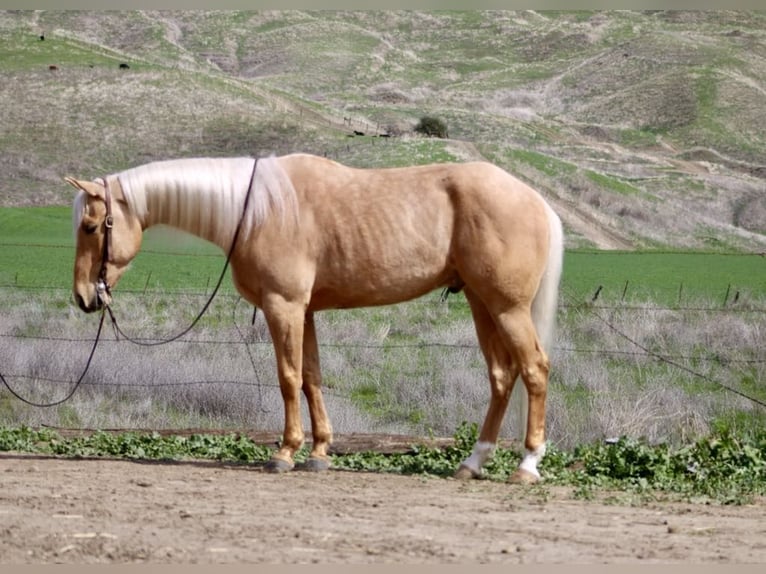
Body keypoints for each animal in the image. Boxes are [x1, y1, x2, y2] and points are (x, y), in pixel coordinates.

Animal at [67, 153, 564, 483]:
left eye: (91, 226)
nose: (84, 297)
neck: (258, 209)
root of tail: (537, 201)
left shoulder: (282, 306)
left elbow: (288, 378)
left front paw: (286, 453)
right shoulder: (303, 313)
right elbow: (311, 378)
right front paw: (321, 451)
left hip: (507, 308)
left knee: (534, 369)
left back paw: (527, 465)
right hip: (483, 304)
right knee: (502, 377)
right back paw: (473, 463)